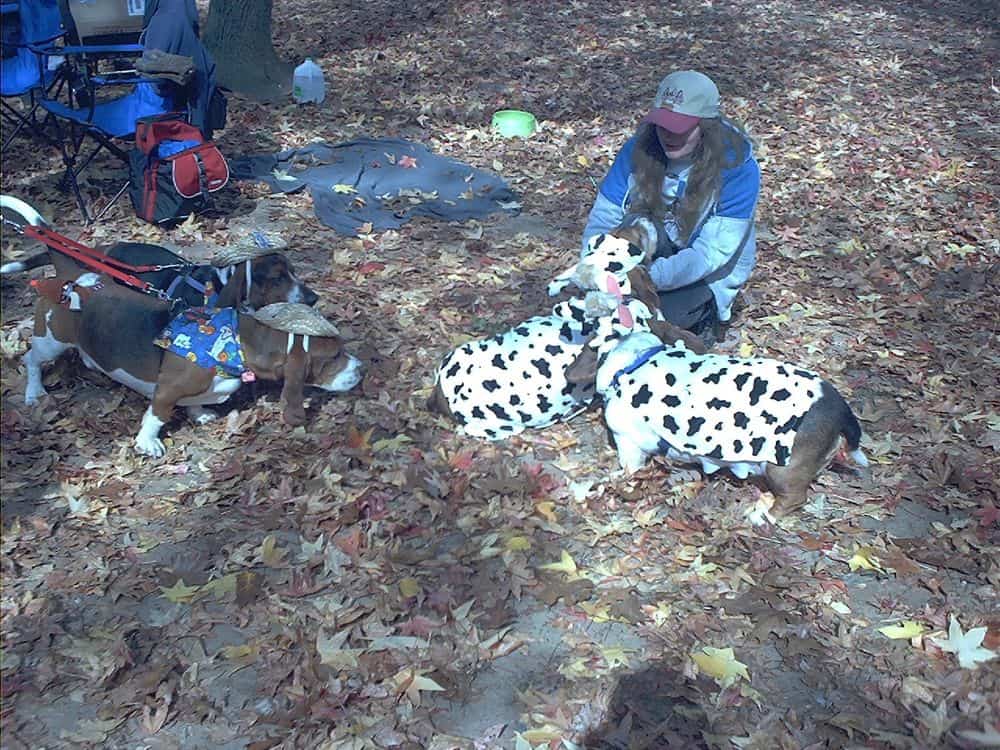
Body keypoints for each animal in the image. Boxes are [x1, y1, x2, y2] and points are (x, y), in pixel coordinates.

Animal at [24, 274, 364, 456]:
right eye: (334, 356)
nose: (361, 369)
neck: (234, 342)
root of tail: (76, 286)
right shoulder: (166, 392)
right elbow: (157, 416)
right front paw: (148, 443)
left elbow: (195, 404)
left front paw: (199, 414)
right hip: (50, 342)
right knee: (30, 360)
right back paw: (33, 392)